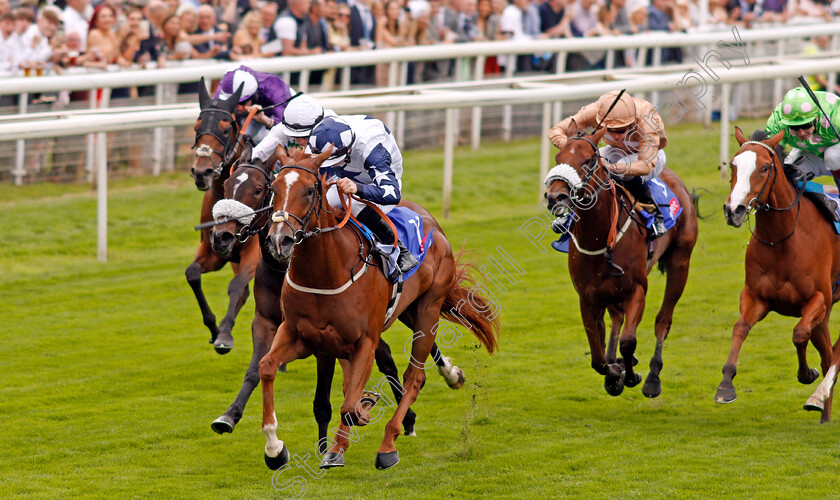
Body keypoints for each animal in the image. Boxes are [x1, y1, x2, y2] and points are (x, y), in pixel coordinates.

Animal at [185, 80, 258, 354]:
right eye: (197, 127)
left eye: (225, 130)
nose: (202, 172)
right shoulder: (215, 251)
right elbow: (192, 274)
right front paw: (214, 329)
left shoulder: (254, 252)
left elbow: (237, 285)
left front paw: (225, 335)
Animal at [208, 152, 470, 438]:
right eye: (226, 186)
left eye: (258, 190)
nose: (221, 236)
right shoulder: (274, 324)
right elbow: (259, 368)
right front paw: (229, 416)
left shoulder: (357, 337)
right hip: (407, 308)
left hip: (425, 303)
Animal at [260, 146, 498, 470]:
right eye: (274, 189)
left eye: (310, 190)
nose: (279, 240)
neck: (326, 272)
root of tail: (431, 221)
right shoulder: (301, 336)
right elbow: (267, 367)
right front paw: (275, 449)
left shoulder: (364, 341)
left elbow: (350, 404)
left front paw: (353, 426)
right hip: (408, 309)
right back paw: (450, 374)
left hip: (429, 308)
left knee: (415, 378)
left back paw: (388, 445)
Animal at [540, 124, 700, 398]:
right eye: (558, 158)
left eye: (587, 160)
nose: (554, 197)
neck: (599, 239)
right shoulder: (588, 298)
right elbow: (597, 356)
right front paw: (614, 372)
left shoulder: (637, 289)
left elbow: (628, 342)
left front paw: (631, 374)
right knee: (616, 317)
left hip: (680, 262)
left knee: (663, 319)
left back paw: (652, 376)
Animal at [716, 127, 840, 420]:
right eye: (733, 164)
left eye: (764, 167)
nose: (733, 210)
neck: (782, 240)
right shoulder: (755, 297)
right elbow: (739, 328)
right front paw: (726, 386)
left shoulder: (819, 298)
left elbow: (799, 333)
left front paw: (807, 374)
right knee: (828, 354)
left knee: (833, 354)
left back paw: (818, 396)